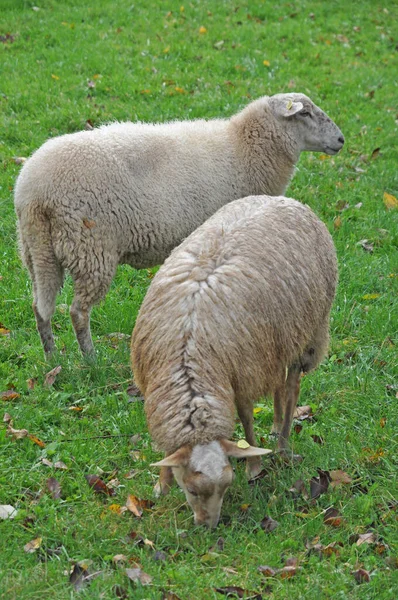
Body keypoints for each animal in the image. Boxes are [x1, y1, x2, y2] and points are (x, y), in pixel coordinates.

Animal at [12, 92, 342, 354]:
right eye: (305, 113)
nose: (340, 140)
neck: (243, 146)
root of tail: (33, 192)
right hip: (90, 247)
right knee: (78, 312)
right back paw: (92, 360)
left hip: (37, 249)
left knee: (40, 307)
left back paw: (52, 357)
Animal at [132, 195, 338, 528]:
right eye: (191, 489)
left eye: (227, 486)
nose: (209, 526)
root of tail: (285, 199)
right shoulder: (157, 388)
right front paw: (161, 485)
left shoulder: (240, 374)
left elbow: (246, 418)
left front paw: (254, 467)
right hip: (275, 342)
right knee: (279, 386)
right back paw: (276, 428)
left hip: (307, 332)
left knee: (291, 387)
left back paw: (282, 443)